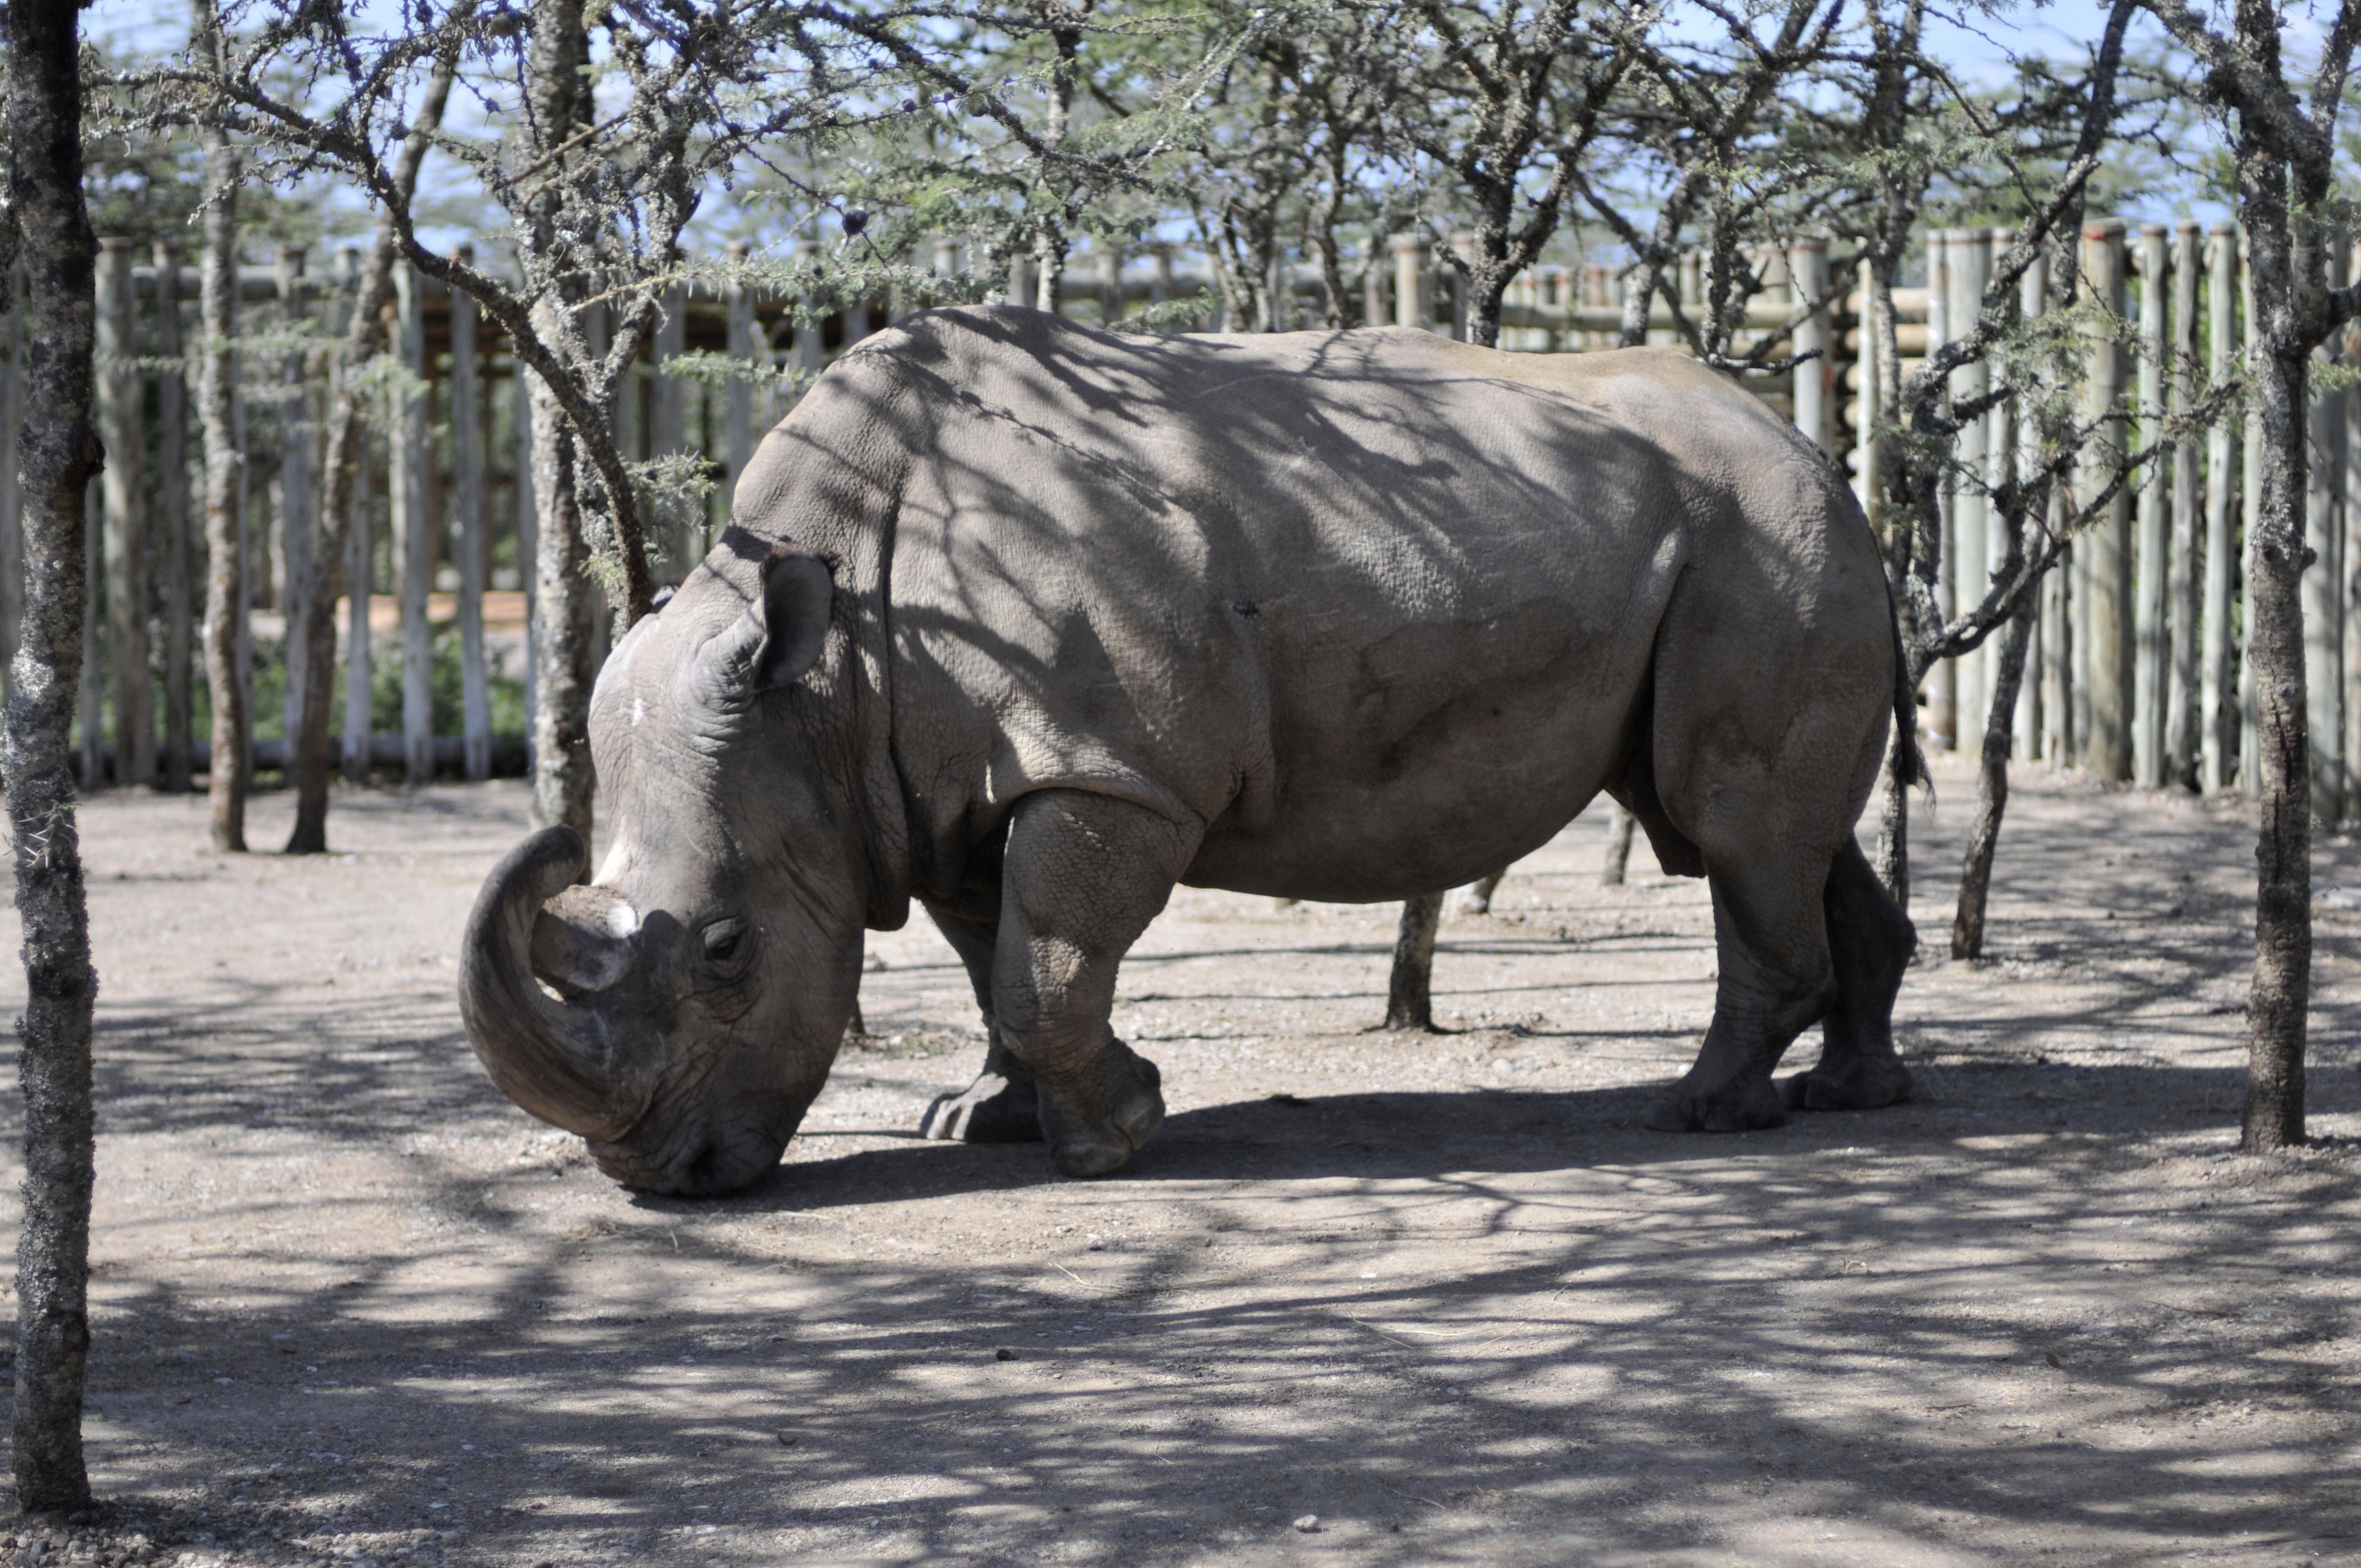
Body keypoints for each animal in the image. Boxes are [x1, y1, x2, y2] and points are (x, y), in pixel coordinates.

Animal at [458, 307, 1919, 1197]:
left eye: (725, 949)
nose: (667, 1179)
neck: (828, 669)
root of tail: (1816, 446)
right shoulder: (931, 782)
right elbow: (989, 948)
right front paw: (978, 1120)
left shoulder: (1110, 766)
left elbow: (1045, 958)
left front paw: (1111, 1140)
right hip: (1742, 538)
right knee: (1770, 832)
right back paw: (1854, 1095)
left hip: (1765, 538)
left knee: (1729, 824)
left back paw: (1701, 1113)